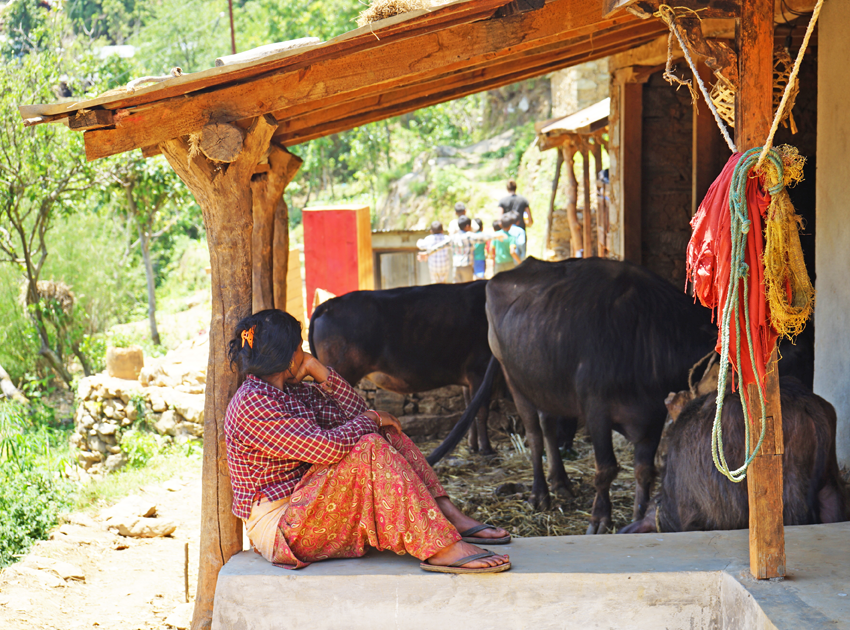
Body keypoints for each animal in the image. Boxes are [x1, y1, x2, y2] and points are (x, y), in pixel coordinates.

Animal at [308, 282, 496, 454]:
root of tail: (329, 304)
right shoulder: (479, 369)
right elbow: (481, 410)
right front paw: (486, 448)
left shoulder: (469, 377)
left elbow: (470, 408)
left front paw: (473, 446)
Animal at [430, 260, 716, 536]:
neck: (648, 341)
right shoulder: (597, 410)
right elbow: (606, 468)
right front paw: (599, 519)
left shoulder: (653, 418)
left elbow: (644, 471)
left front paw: (639, 515)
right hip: (516, 382)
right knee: (534, 437)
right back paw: (539, 494)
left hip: (546, 386)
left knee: (548, 427)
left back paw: (561, 482)